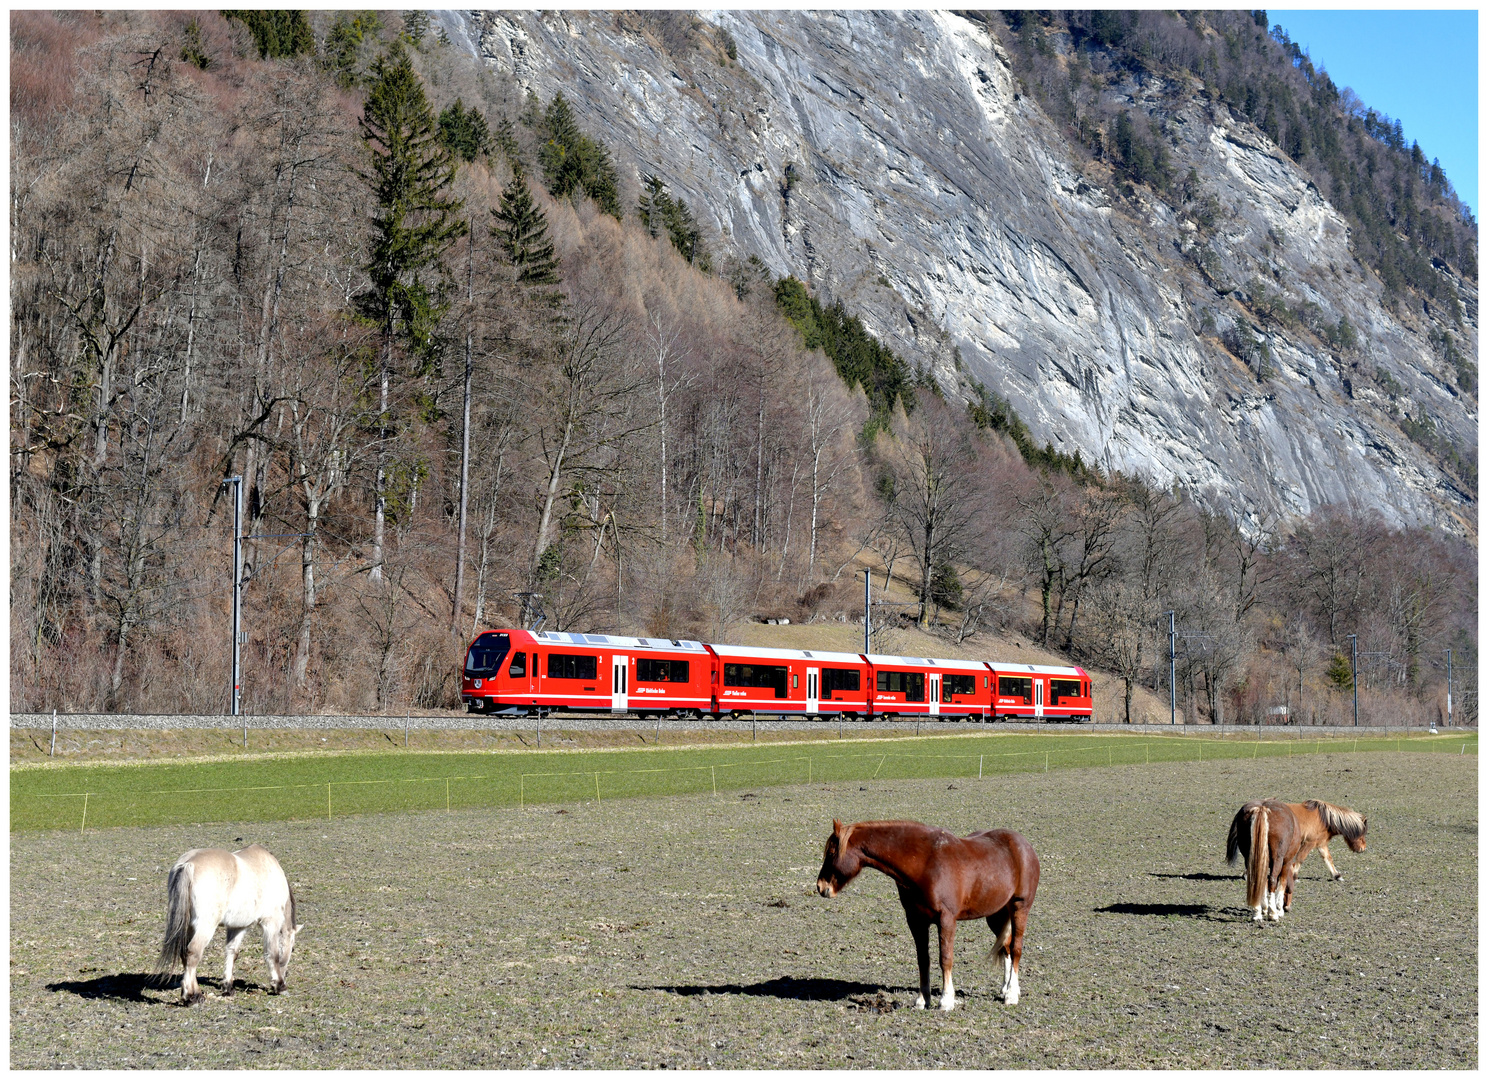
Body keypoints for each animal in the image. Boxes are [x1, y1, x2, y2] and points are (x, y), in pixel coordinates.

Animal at [157, 844, 302, 1005]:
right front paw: (280, 986)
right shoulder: (271, 923)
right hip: (205, 927)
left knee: (185, 954)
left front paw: (228, 987)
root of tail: (188, 864)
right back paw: (191, 996)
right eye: (292, 948)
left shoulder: (237, 927)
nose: (285, 974)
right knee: (193, 953)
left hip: (189, 926)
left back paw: (196, 993)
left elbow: (232, 952)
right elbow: (273, 954)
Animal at [821, 821, 1041, 1017]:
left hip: (1019, 908)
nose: (821, 887)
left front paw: (946, 1000)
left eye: (831, 853)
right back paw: (1007, 988)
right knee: (1006, 947)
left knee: (1016, 948)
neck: (925, 863)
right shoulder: (916, 920)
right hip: (996, 915)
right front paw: (922, 1000)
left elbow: (945, 959)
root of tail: (1024, 846)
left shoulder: (946, 920)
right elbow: (923, 959)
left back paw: (1011, 994)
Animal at [1226, 797, 1363, 928]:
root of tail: (1261, 808)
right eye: (1362, 834)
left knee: (1256, 878)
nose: (1362, 848)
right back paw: (1273, 913)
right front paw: (1278, 909)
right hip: (1278, 859)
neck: (1323, 818)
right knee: (1272, 880)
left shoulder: (1320, 843)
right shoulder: (1300, 851)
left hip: (1251, 856)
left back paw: (1257, 912)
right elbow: (1288, 875)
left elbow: (1327, 858)